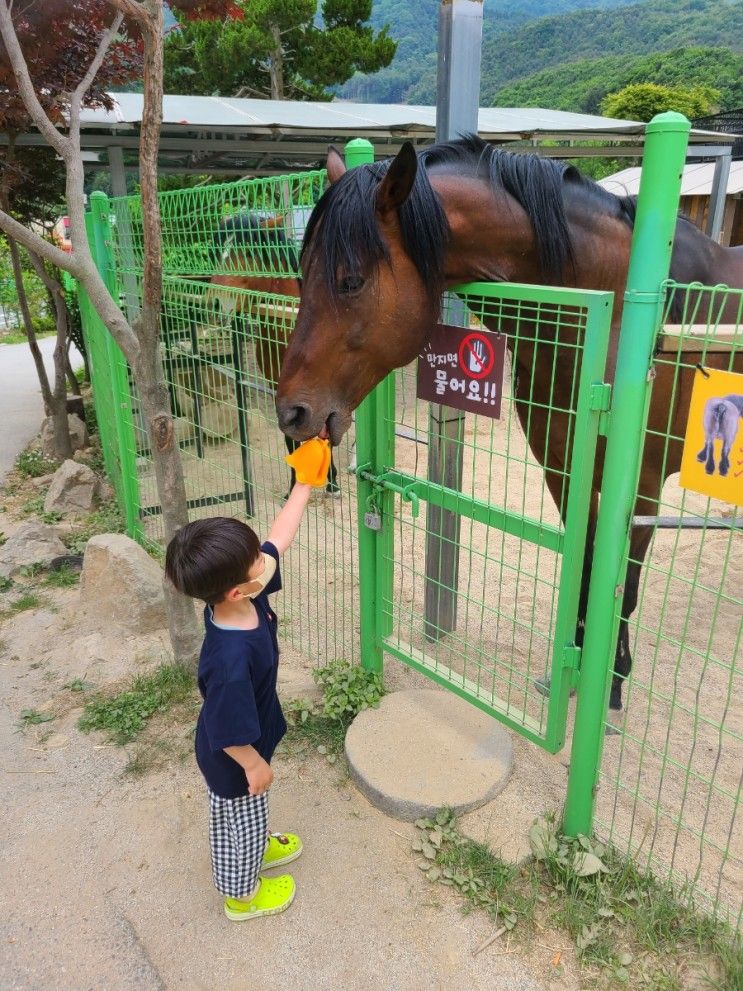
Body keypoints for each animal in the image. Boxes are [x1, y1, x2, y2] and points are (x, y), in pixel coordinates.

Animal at [274, 136, 743, 712]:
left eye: (350, 280)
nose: (291, 411)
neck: (615, 312)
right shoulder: (564, 469)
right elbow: (586, 567)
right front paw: (571, 670)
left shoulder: (641, 487)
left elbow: (622, 587)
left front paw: (612, 681)